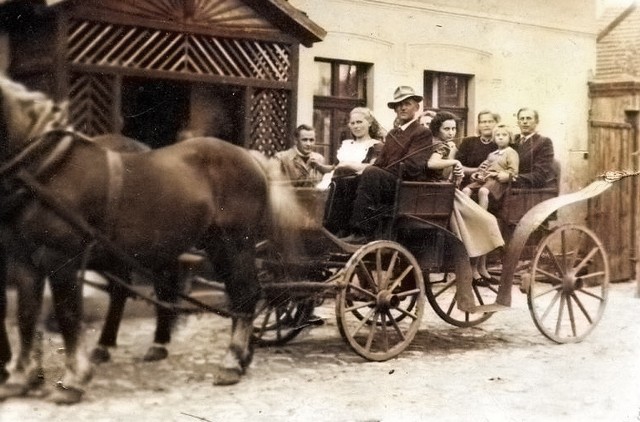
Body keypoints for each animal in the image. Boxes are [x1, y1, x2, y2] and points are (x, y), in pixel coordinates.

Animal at [0, 75, 302, 402]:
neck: (44, 166)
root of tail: (251, 157)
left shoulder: (61, 259)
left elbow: (67, 315)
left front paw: (72, 381)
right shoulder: (23, 261)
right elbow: (26, 315)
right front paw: (20, 378)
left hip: (234, 243)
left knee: (244, 293)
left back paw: (231, 362)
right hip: (211, 246)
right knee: (233, 294)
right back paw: (240, 357)